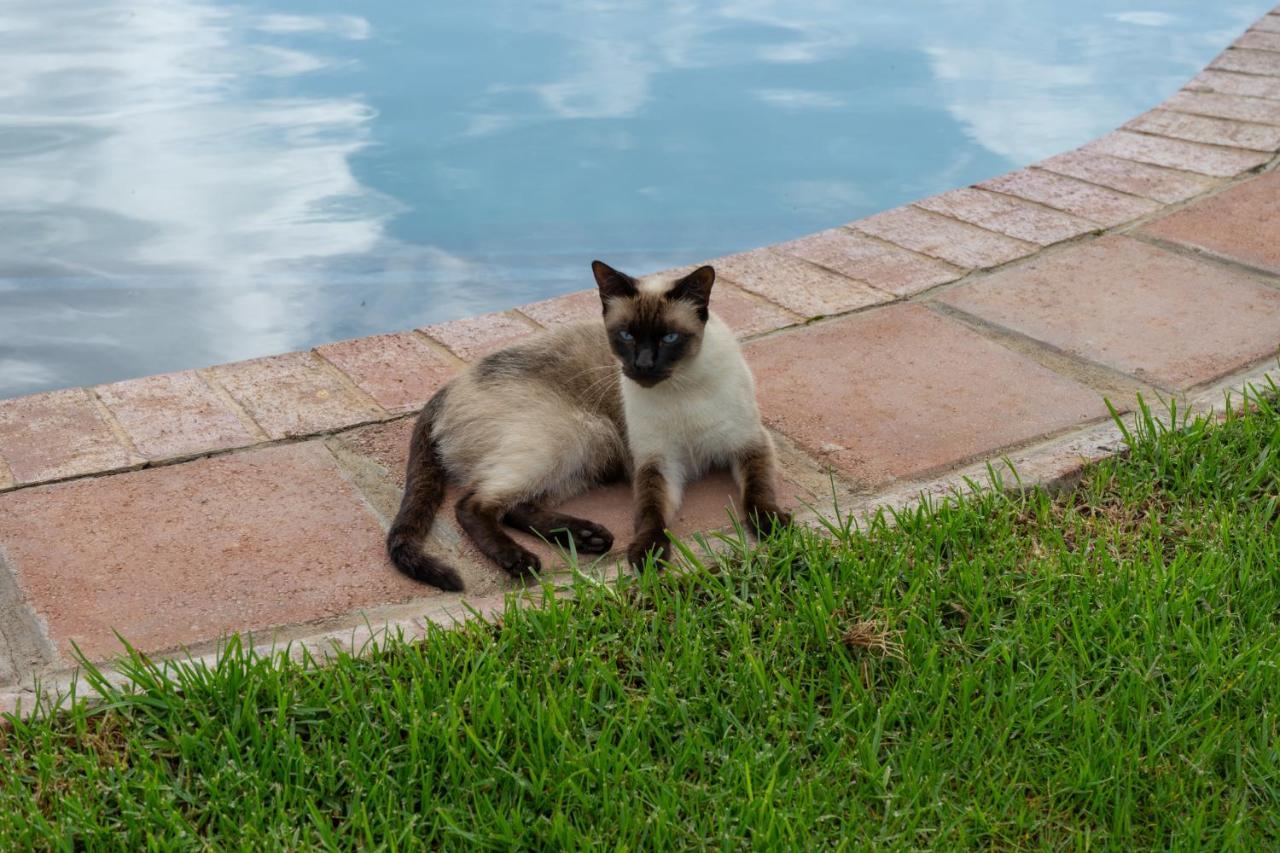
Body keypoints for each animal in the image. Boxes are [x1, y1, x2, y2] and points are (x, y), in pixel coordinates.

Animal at [386, 258, 788, 589]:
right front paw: (647, 556)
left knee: (515, 505)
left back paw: (587, 538)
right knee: (474, 503)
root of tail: (446, 388)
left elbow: (758, 493)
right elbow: (651, 513)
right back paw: (522, 561)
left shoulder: (750, 445)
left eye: (669, 337)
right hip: (566, 440)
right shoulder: (658, 464)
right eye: (626, 335)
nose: (642, 365)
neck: (681, 388)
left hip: (585, 454)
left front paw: (772, 529)